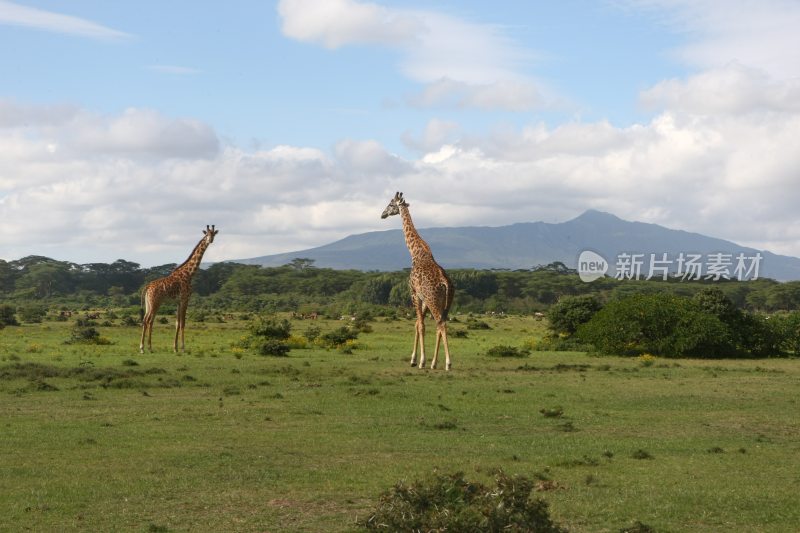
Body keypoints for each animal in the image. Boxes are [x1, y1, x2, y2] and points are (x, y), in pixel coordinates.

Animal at [138, 224, 219, 354]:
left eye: (213, 234)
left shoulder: (178, 302)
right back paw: (148, 348)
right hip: (155, 302)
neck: (189, 273)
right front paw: (183, 348)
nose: (210, 240)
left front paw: (175, 348)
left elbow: (177, 323)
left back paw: (142, 347)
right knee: (149, 321)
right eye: (206, 234)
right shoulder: (185, 299)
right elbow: (183, 323)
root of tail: (147, 286)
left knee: (145, 320)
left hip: (148, 303)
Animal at [382, 191, 456, 370]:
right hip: (444, 302)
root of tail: (445, 282)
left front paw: (420, 361)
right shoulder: (422, 299)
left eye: (390, 204)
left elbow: (420, 325)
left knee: (441, 324)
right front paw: (414, 359)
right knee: (440, 324)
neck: (416, 252)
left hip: (432, 299)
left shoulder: (414, 292)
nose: (382, 214)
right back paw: (435, 363)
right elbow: (417, 323)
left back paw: (447, 363)